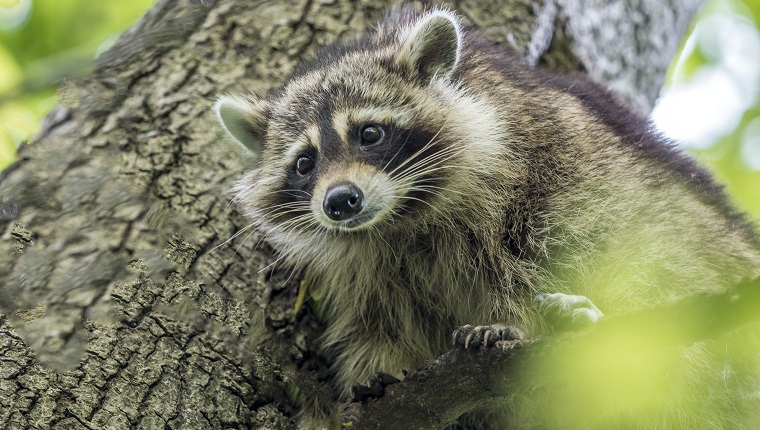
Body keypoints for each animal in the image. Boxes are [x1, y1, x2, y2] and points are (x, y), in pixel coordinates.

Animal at [214, 6, 760, 430]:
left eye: (369, 133)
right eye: (305, 163)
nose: (340, 201)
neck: (401, 218)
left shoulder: (546, 170)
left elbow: (549, 253)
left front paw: (507, 323)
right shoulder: (371, 269)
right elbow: (377, 322)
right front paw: (378, 369)